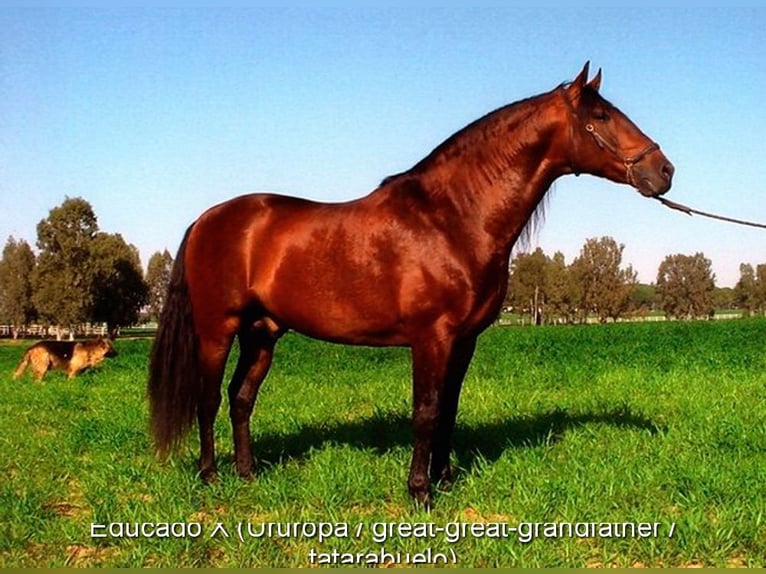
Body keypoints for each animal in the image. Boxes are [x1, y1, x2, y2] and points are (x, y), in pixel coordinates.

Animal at [148, 62, 674, 507]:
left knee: (241, 399)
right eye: (602, 116)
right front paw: (420, 493)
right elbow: (425, 412)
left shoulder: (463, 340)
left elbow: (448, 409)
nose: (664, 170)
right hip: (217, 330)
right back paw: (210, 477)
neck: (452, 219)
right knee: (209, 399)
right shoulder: (430, 338)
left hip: (262, 333)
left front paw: (446, 479)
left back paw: (248, 474)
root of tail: (208, 218)